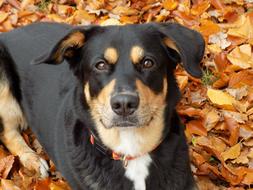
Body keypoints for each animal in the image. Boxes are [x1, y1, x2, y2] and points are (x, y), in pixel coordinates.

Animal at [0, 21, 205, 189]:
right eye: (100, 65)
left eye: (148, 63)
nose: (124, 104)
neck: (131, 150)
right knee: (7, 133)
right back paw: (33, 159)